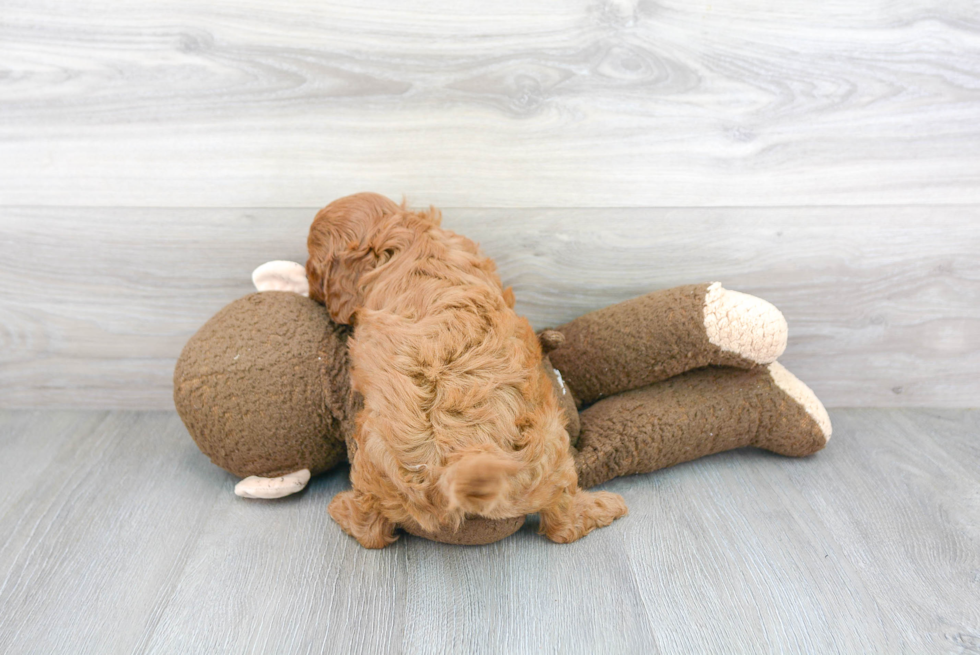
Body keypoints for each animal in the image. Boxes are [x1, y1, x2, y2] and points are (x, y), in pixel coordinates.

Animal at [306, 193, 628, 548]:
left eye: (313, 268)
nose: (309, 288)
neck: (407, 239)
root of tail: (451, 475)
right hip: (549, 447)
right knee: (563, 521)